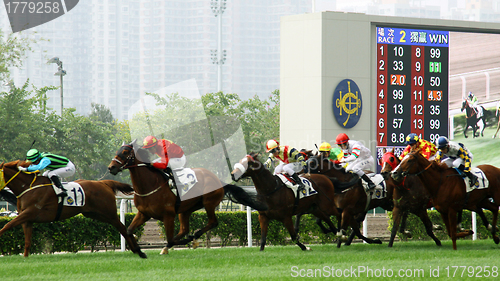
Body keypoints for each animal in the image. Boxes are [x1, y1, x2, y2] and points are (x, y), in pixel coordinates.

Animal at [0, 159, 146, 258]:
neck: (27, 187)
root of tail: (103, 183)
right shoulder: (27, 219)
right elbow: (27, 241)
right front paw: (25, 258)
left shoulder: (30, 212)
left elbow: (7, 225)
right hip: (95, 214)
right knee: (121, 228)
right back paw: (136, 250)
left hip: (108, 213)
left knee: (123, 228)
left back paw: (138, 251)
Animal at [107, 141, 266, 253]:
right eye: (117, 150)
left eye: (125, 151)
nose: (111, 167)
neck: (150, 185)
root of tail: (218, 180)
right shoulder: (143, 213)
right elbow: (128, 230)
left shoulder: (168, 215)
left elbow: (170, 238)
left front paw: (188, 241)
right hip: (186, 209)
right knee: (184, 229)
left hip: (208, 203)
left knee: (212, 222)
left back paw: (194, 237)